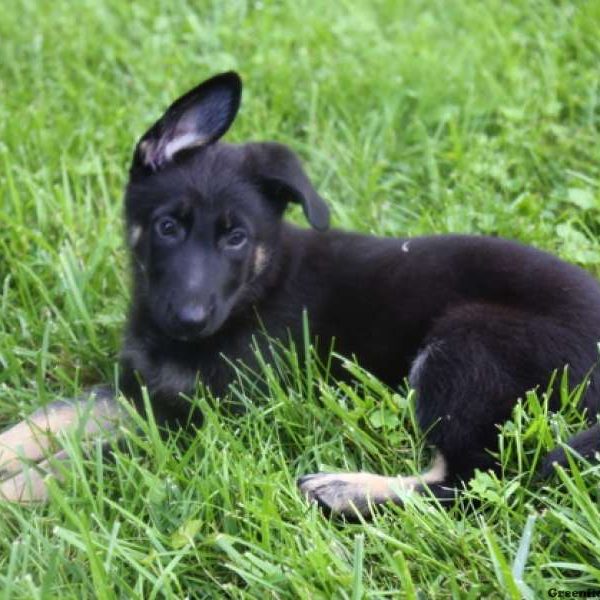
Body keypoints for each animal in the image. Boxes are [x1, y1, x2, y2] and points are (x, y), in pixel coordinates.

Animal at [1, 72, 600, 516]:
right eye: (168, 227)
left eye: (236, 238)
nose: (189, 319)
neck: (254, 290)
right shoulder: (140, 389)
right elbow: (54, 416)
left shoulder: (209, 416)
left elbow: (93, 453)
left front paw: (17, 490)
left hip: (467, 342)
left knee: (476, 482)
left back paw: (346, 489)